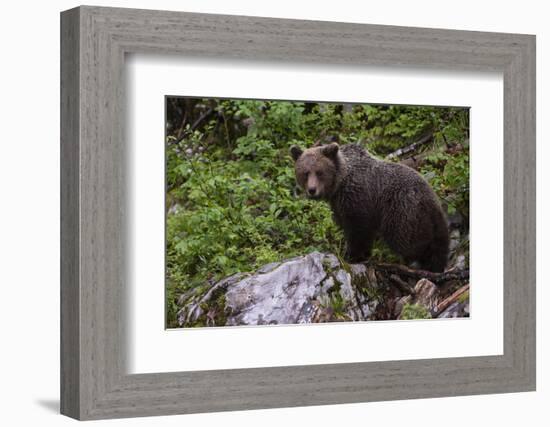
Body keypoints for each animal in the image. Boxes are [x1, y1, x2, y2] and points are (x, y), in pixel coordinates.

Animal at [292, 142, 450, 272]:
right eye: (305, 173)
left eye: (319, 172)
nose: (312, 190)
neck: (339, 184)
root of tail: (430, 198)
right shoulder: (338, 204)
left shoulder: (357, 198)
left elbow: (358, 230)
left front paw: (351, 255)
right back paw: (436, 265)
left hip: (402, 211)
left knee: (407, 241)